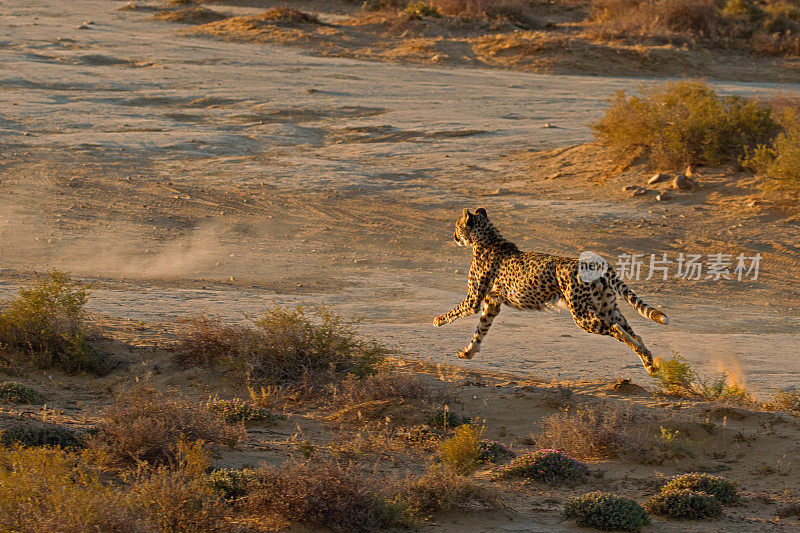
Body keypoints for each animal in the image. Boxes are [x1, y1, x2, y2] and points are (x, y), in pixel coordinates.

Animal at [432, 208, 668, 374]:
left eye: (457, 225)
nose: (454, 236)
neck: (487, 238)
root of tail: (592, 262)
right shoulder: (492, 303)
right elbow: (481, 330)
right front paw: (468, 351)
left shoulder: (474, 299)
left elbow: (458, 311)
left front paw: (438, 320)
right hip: (607, 307)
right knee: (633, 331)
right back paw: (649, 362)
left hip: (582, 315)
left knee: (617, 330)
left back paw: (644, 356)